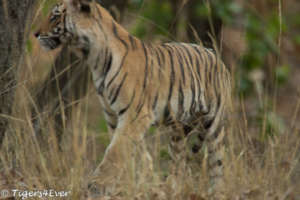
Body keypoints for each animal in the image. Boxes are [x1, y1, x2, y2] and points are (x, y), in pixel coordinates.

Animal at [34, 0, 232, 197]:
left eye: (55, 16)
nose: (35, 34)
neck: (93, 58)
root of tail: (214, 54)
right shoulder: (113, 116)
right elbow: (131, 152)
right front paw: (143, 178)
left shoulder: (134, 115)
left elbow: (115, 152)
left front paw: (98, 186)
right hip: (178, 131)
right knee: (179, 163)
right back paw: (170, 189)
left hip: (214, 124)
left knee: (218, 164)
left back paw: (218, 192)